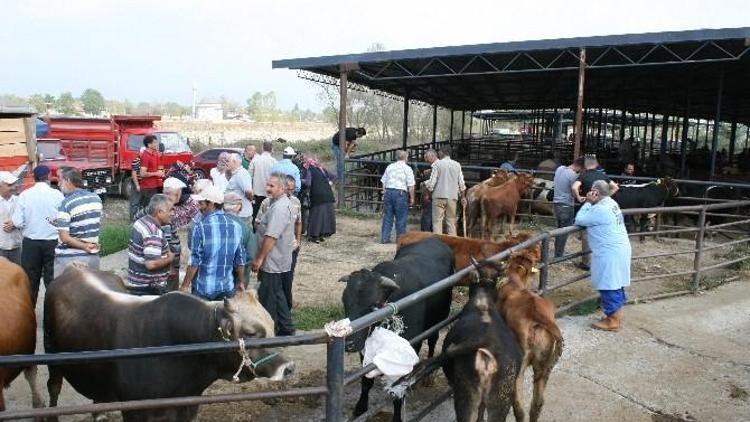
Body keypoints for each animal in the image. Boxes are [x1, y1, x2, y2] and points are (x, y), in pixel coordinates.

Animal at [43, 266, 296, 420]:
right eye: (251, 332)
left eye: (273, 326)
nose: (289, 367)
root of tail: (75, 268)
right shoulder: (136, 411)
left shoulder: (188, 406)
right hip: (53, 359)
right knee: (53, 388)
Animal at [342, 239, 456, 420]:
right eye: (345, 301)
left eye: (374, 305)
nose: (350, 343)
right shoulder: (365, 348)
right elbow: (366, 381)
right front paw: (360, 407)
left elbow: (397, 391)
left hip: (439, 318)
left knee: (432, 340)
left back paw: (428, 376)